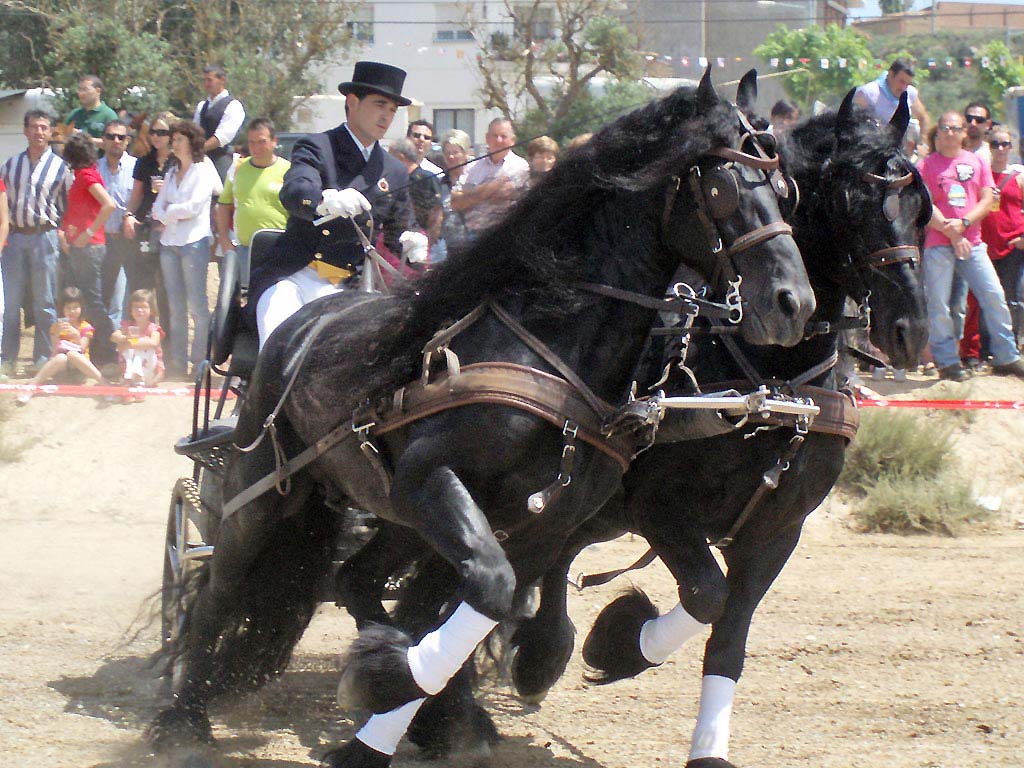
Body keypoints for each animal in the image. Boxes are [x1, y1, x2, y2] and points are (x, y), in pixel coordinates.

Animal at [146, 69, 815, 765]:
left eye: (786, 190)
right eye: (722, 186)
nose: (794, 303)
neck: (551, 346)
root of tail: (304, 322)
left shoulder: (543, 522)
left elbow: (482, 606)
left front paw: (415, 701)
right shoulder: (432, 477)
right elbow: (489, 590)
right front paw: (394, 684)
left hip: (394, 517)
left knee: (359, 580)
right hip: (265, 493)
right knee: (217, 587)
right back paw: (182, 716)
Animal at [378, 90, 937, 765]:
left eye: (919, 207)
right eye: (852, 199)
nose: (911, 328)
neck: (772, 384)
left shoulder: (779, 530)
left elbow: (728, 637)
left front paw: (702, 740)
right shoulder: (661, 507)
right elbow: (706, 595)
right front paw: (619, 643)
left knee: (541, 560)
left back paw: (524, 659)